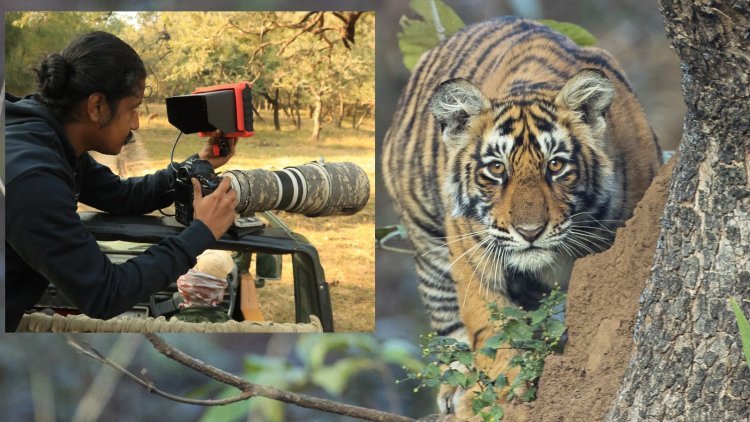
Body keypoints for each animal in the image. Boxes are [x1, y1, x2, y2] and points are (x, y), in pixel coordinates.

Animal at [381, 16, 662, 415]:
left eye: (556, 166)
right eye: (497, 169)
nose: (529, 232)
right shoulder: (473, 250)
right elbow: (490, 327)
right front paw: (497, 396)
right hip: (428, 241)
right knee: (448, 319)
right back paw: (455, 386)